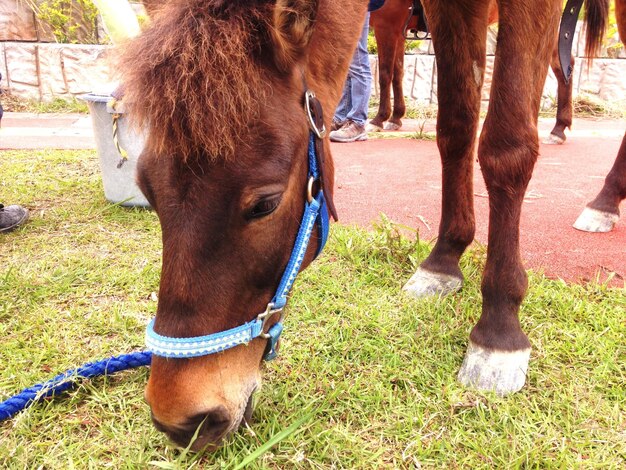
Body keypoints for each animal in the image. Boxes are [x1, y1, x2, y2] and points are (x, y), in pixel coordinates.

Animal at [368, 0, 572, 145]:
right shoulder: (397, 30)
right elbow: (398, 73)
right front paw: (396, 117)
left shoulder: (385, 26)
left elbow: (384, 74)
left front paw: (379, 118)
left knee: (561, 66)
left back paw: (557, 129)